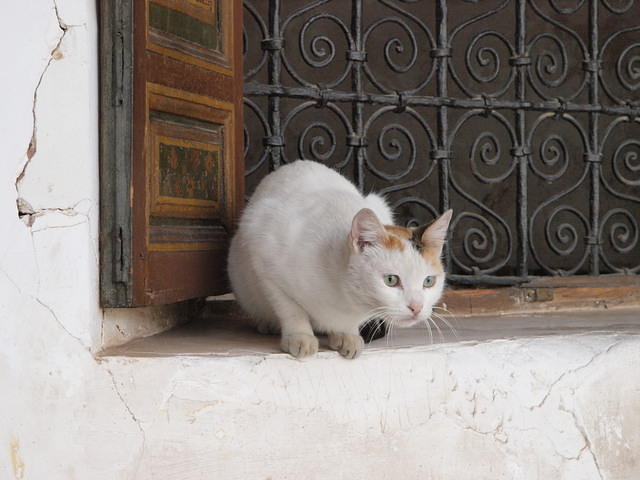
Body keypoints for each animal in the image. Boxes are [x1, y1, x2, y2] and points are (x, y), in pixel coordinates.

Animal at [228, 159, 452, 358]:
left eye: (429, 281)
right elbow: (290, 308)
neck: (345, 298)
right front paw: (300, 337)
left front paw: (347, 335)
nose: (417, 308)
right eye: (391, 280)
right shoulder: (264, 252)